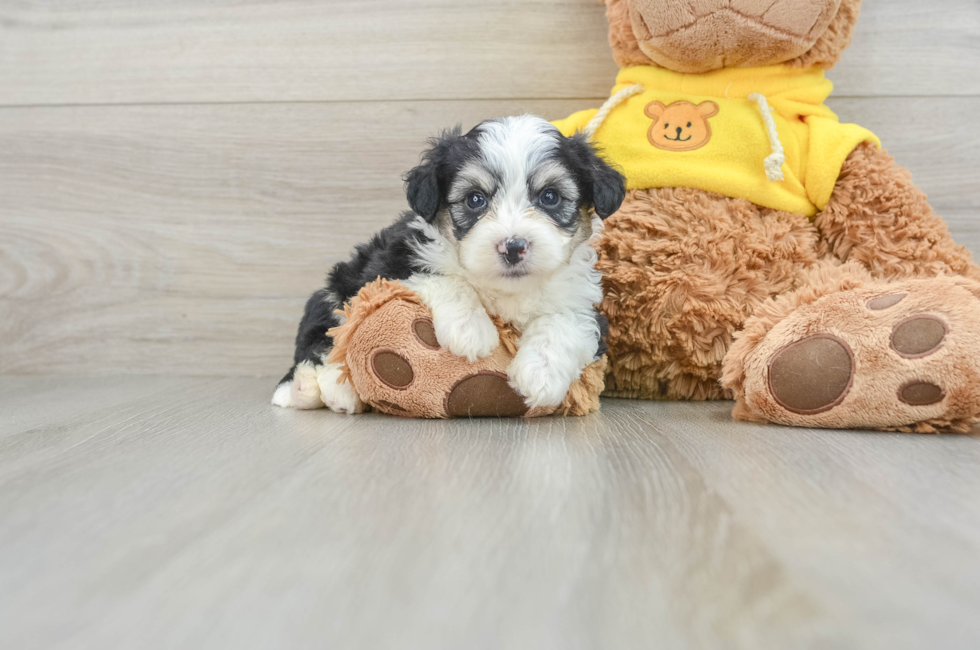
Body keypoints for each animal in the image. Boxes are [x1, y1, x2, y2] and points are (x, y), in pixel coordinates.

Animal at [272, 113, 624, 410]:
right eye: (475, 199)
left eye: (550, 197)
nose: (513, 247)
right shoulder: (391, 267)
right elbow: (445, 278)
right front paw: (470, 330)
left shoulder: (585, 306)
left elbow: (566, 322)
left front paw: (541, 374)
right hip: (335, 291)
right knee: (322, 344)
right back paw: (317, 388)